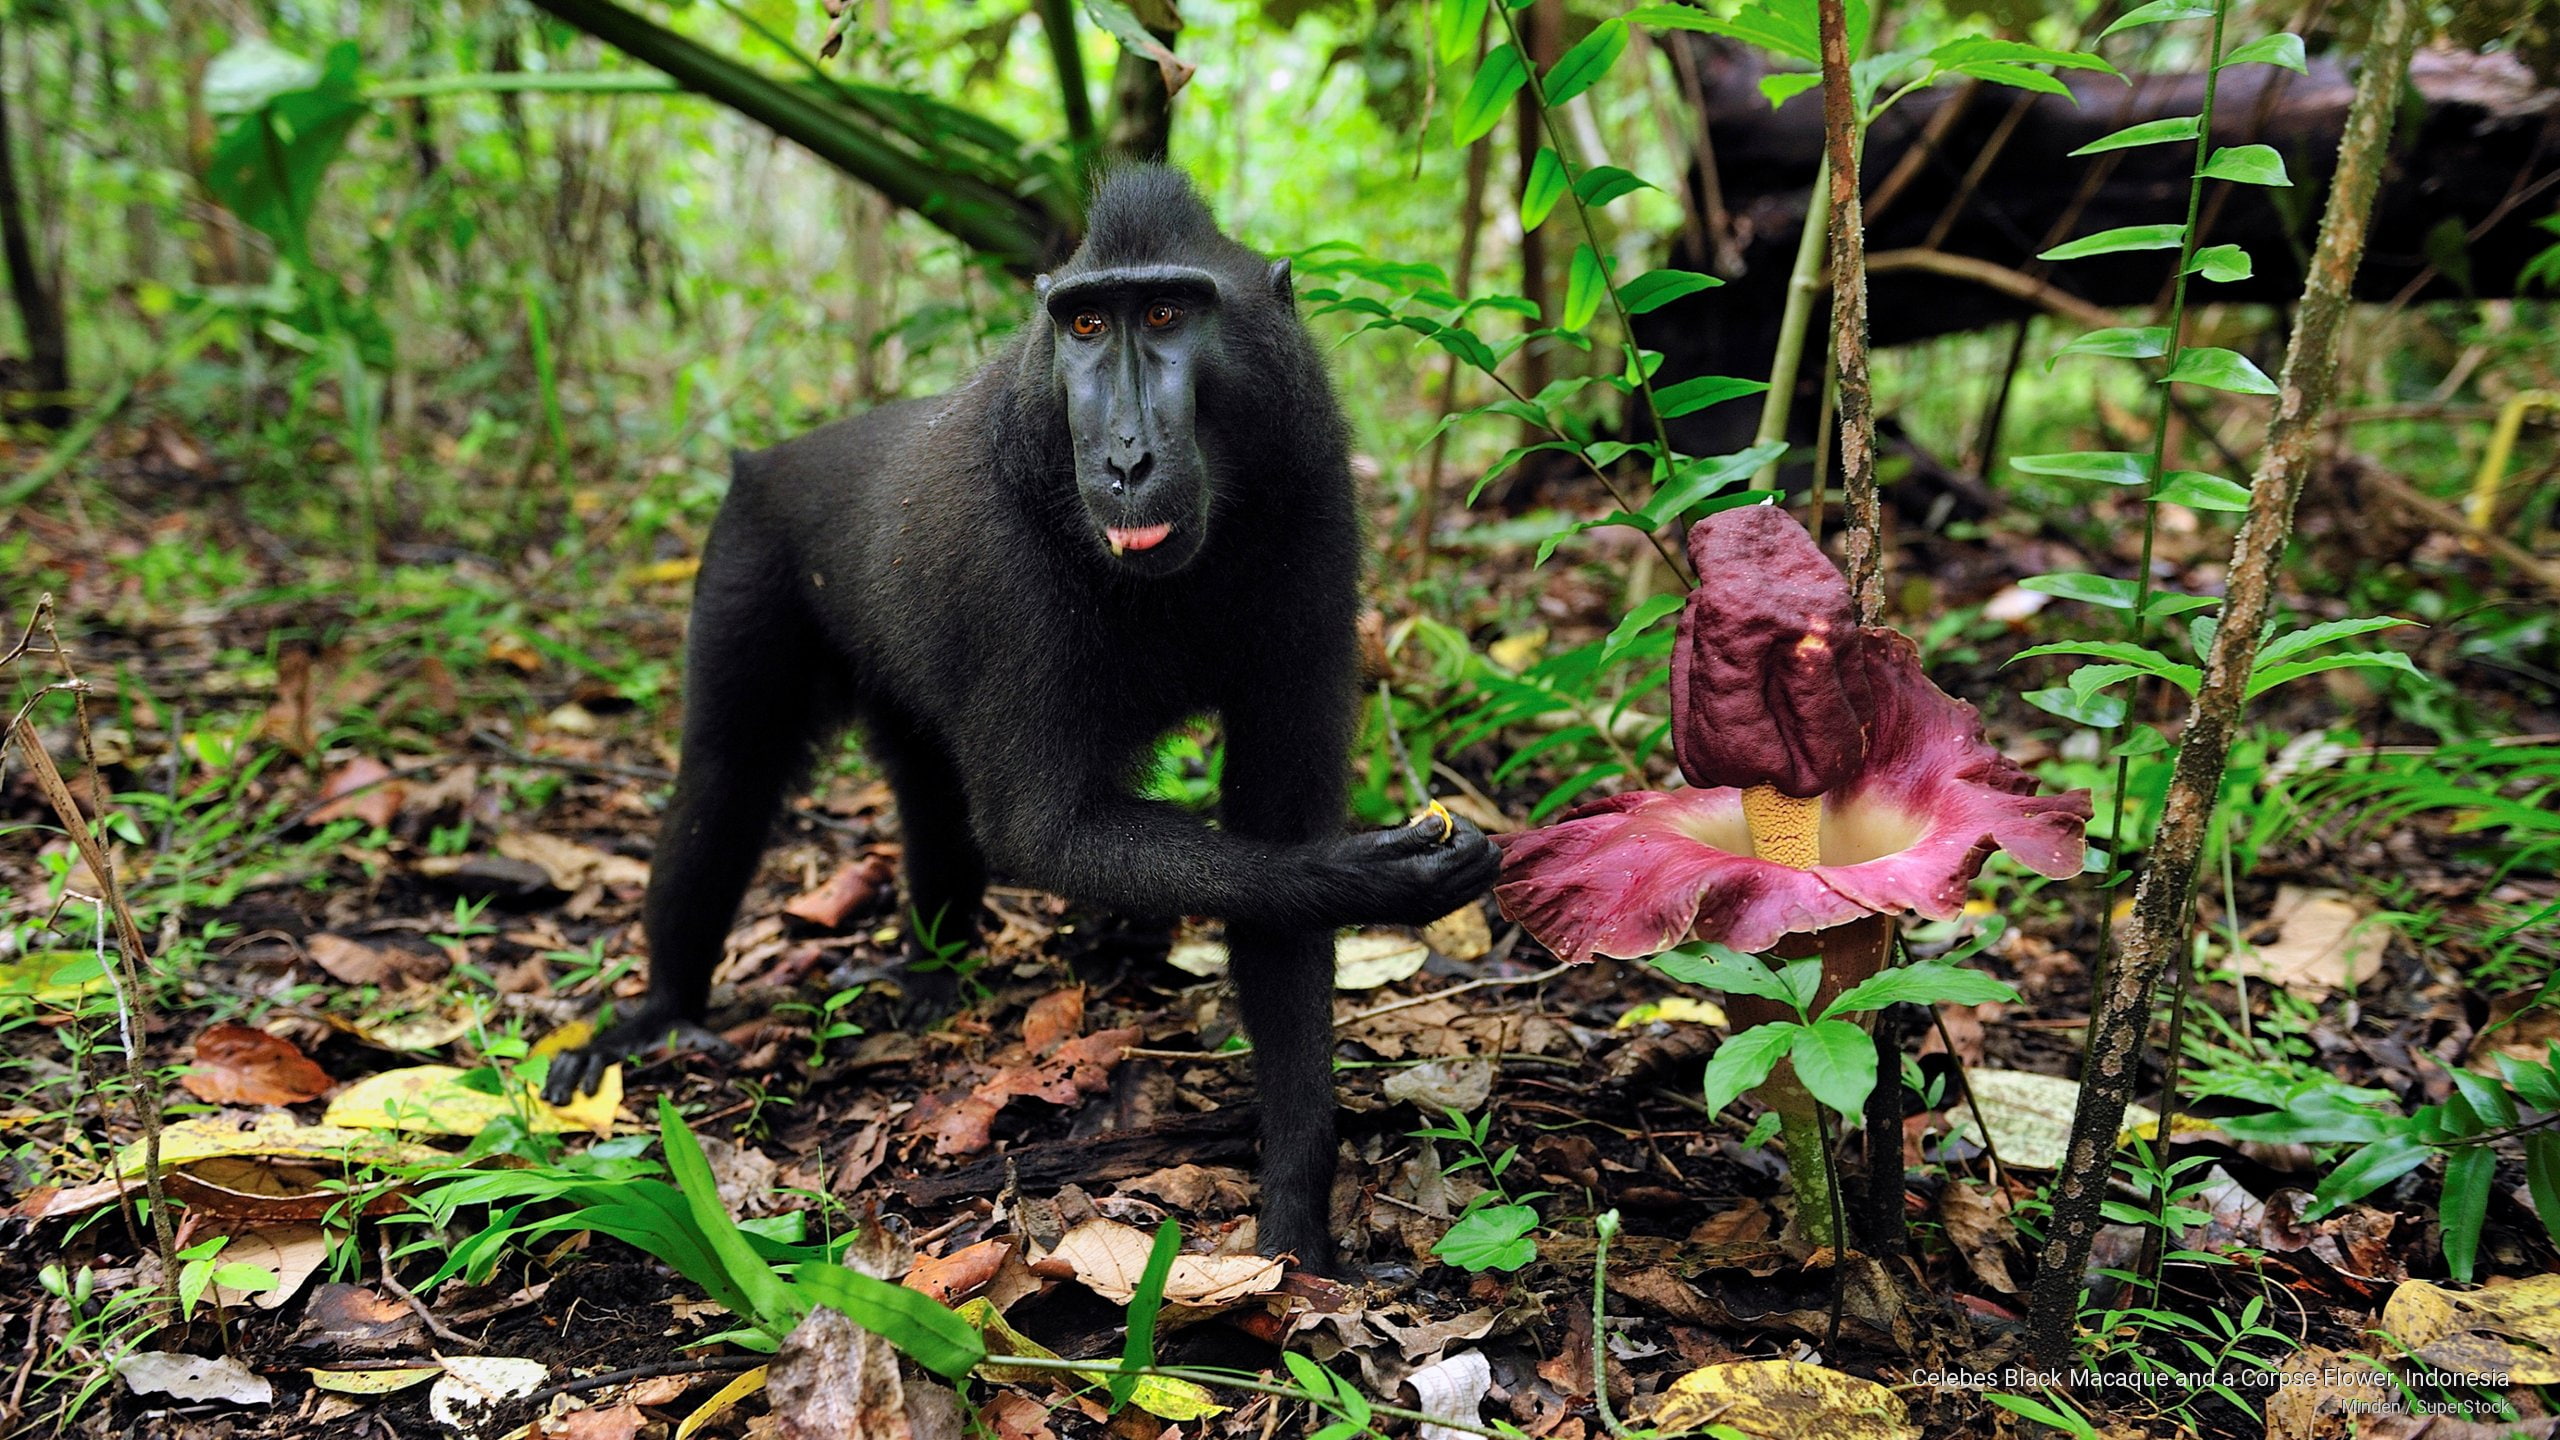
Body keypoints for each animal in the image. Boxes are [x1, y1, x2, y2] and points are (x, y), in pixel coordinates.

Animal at [544, 166, 1501, 1269]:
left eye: (1166, 314)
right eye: (1085, 324)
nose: (1126, 458)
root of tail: (774, 455)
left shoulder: (1316, 512)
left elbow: (1276, 845)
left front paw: (1296, 1222)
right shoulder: (1006, 564)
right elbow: (1047, 833)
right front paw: (1375, 876)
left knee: (925, 789)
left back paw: (932, 969)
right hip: (747, 554)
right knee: (728, 773)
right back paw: (662, 1010)